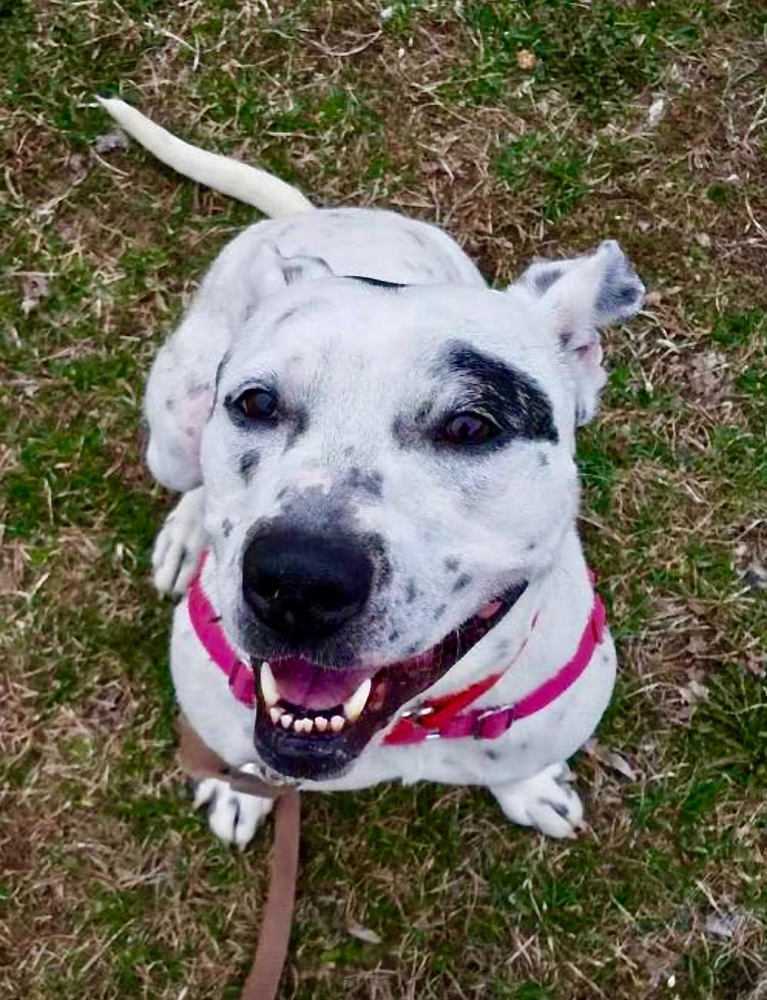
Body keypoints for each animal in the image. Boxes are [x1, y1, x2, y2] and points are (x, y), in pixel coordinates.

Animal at [99, 99, 644, 852]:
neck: (406, 723)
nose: (299, 581)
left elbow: (518, 763)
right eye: (255, 403)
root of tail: (313, 219)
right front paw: (239, 791)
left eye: (471, 427)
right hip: (175, 424)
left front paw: (529, 789)